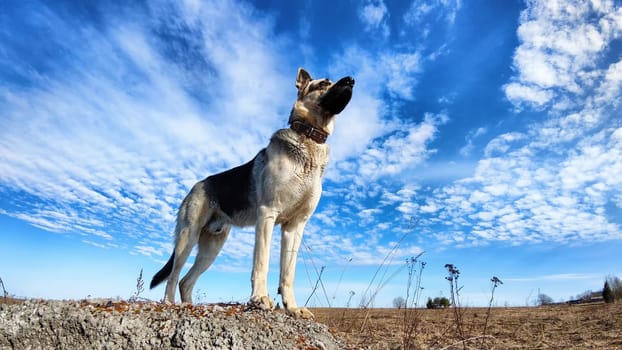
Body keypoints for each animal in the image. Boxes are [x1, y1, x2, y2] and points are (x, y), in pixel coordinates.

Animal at [150, 68, 356, 320]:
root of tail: (197, 185)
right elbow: (262, 262)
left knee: (186, 281)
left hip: (211, 248)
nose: (351, 80)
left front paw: (292, 307)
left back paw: (190, 307)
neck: (309, 139)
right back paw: (169, 305)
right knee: (173, 276)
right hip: (187, 238)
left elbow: (288, 273)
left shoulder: (295, 227)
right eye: (324, 84)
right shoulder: (267, 215)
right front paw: (259, 299)